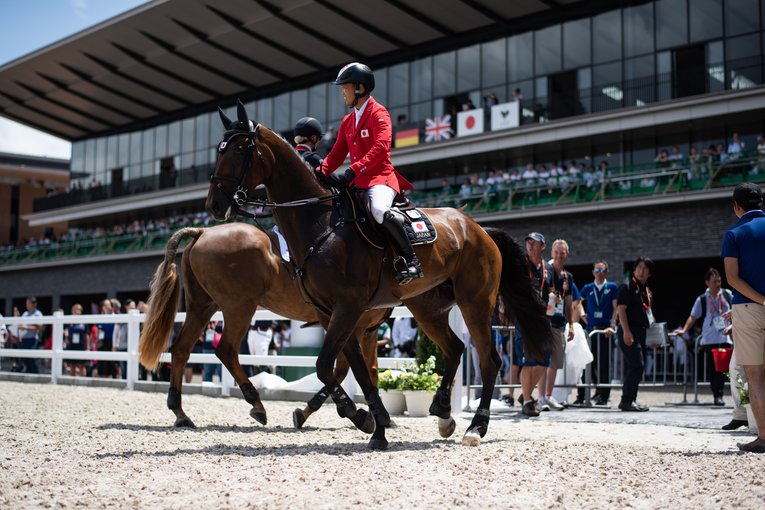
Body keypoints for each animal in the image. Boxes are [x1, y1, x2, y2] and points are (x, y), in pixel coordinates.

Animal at [138, 222, 390, 432]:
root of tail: (204, 231)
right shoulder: (353, 325)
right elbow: (347, 370)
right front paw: (359, 414)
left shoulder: (367, 331)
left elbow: (369, 371)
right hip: (239, 306)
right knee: (226, 350)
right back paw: (256, 403)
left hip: (202, 307)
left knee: (181, 349)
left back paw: (181, 413)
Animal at [206, 101, 554, 449]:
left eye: (237, 150)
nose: (214, 204)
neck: (321, 221)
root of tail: (478, 229)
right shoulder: (333, 313)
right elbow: (355, 372)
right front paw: (374, 424)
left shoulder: (348, 309)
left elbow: (327, 367)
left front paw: (362, 417)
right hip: (428, 309)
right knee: (455, 349)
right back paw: (443, 412)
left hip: (475, 303)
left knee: (488, 360)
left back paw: (475, 427)